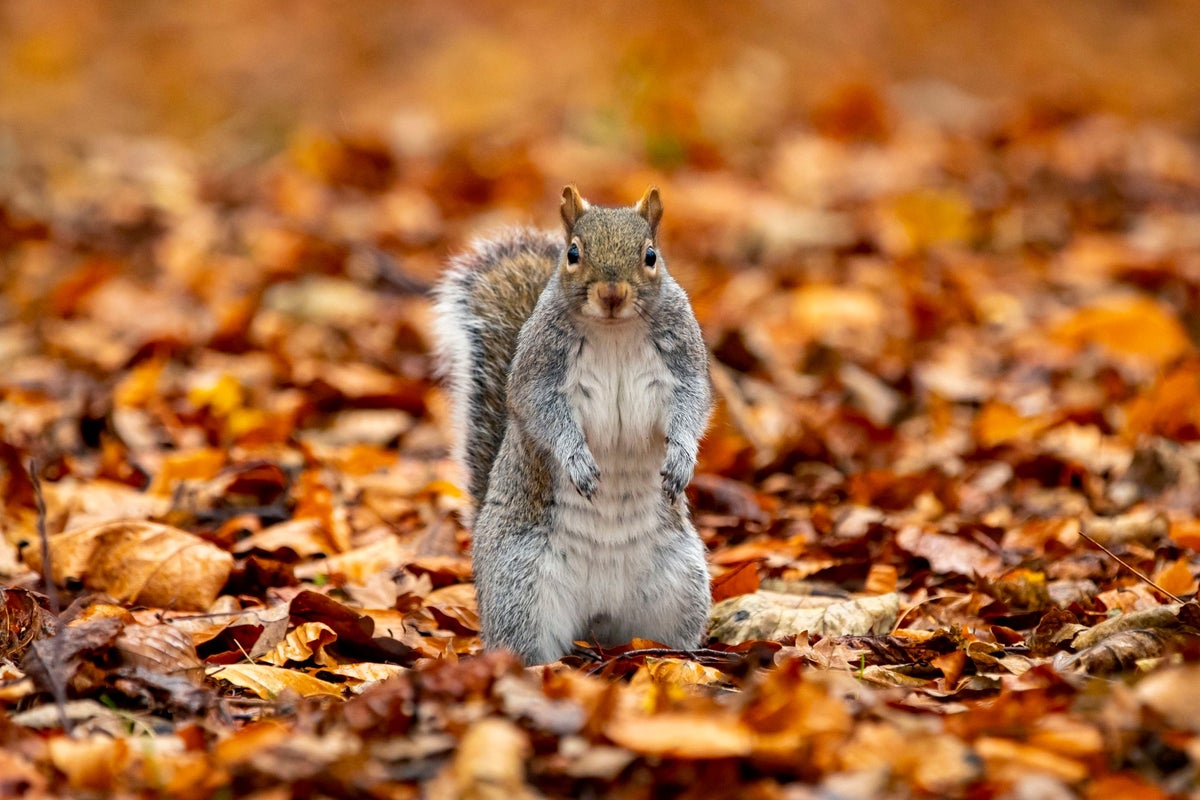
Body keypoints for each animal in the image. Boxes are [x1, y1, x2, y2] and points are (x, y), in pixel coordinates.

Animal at [432, 185, 713, 664]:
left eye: (651, 255)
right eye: (573, 253)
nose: (612, 293)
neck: (613, 329)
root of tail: (597, 612)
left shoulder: (684, 362)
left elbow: (691, 407)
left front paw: (681, 459)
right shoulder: (538, 372)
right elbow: (543, 415)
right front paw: (576, 460)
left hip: (681, 583)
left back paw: (672, 658)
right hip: (521, 587)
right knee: (524, 643)